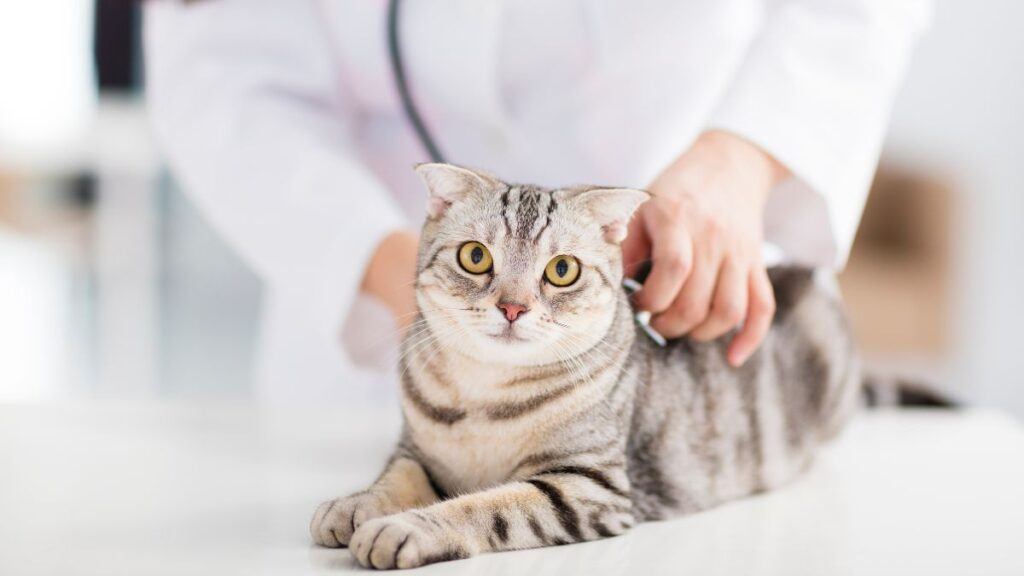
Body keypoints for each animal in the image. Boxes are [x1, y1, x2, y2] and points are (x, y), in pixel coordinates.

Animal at [307, 161, 860, 565]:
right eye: (475, 257)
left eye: (562, 270)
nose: (513, 307)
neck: (483, 398)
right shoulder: (416, 450)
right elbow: (395, 478)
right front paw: (354, 504)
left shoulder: (586, 486)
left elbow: (484, 506)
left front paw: (405, 526)